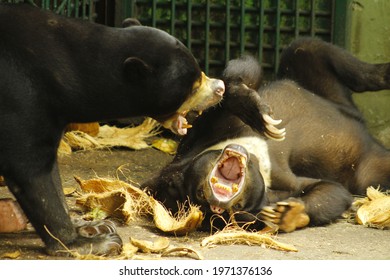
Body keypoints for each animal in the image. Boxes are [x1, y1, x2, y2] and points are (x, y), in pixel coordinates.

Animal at [0, 2, 227, 256]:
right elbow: (31, 170)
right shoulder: (22, 97)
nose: (221, 87)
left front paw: (90, 226)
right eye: (194, 85)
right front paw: (86, 242)